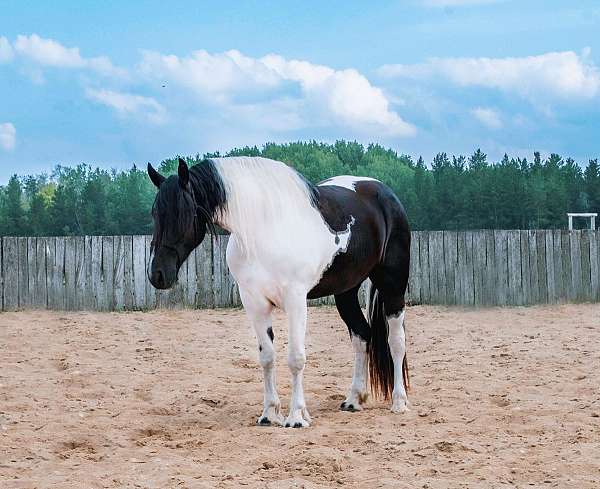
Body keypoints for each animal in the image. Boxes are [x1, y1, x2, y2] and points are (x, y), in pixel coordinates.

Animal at [149, 157, 412, 428]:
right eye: (155, 214)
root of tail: (384, 193)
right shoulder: (254, 302)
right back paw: (353, 400)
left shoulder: (296, 299)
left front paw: (296, 417)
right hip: (346, 291)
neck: (265, 228)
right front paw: (269, 414)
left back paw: (399, 402)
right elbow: (267, 357)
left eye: (184, 214)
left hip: (393, 285)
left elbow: (296, 358)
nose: (157, 274)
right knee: (361, 336)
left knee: (396, 341)